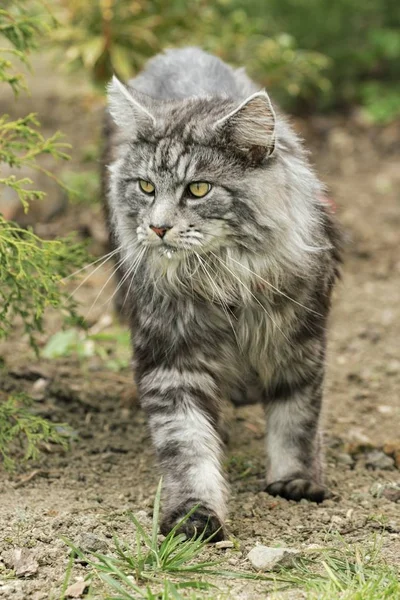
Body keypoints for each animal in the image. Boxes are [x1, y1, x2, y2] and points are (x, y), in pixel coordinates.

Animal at [102, 47, 340, 540]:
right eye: (146, 187)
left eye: (198, 189)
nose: (158, 227)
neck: (223, 278)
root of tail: (182, 51)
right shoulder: (171, 362)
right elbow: (188, 447)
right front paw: (194, 516)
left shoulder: (300, 349)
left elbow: (297, 423)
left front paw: (296, 482)